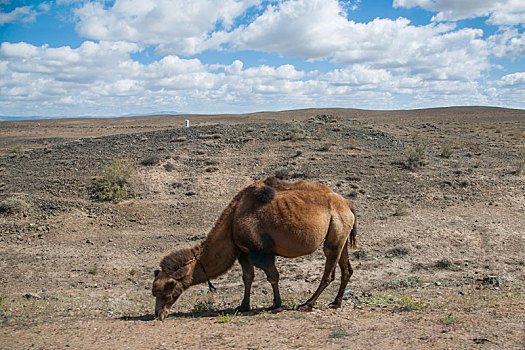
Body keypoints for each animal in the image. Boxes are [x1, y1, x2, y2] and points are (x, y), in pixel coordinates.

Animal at [151, 178, 356, 320]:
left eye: (168, 288)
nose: (159, 314)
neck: (232, 220)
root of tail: (348, 204)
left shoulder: (260, 252)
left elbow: (273, 276)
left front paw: (276, 304)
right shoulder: (243, 251)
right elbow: (247, 277)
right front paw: (243, 306)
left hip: (335, 233)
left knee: (329, 270)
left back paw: (308, 304)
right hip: (342, 234)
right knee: (347, 269)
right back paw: (336, 302)